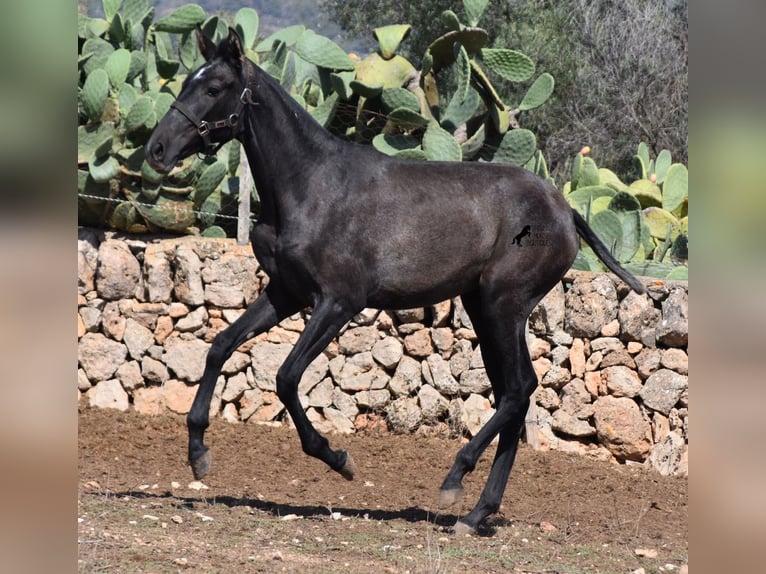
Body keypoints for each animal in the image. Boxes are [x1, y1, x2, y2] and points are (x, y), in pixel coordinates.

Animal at [146, 29, 648, 536]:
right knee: (516, 393)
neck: (310, 187)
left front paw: (339, 459)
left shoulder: (339, 302)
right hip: (484, 308)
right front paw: (198, 454)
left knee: (518, 389)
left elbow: (286, 377)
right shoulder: (285, 293)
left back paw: (454, 480)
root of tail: (566, 210)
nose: (157, 150)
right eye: (187, 81)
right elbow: (220, 346)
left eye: (214, 88)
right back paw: (476, 513)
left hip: (502, 304)